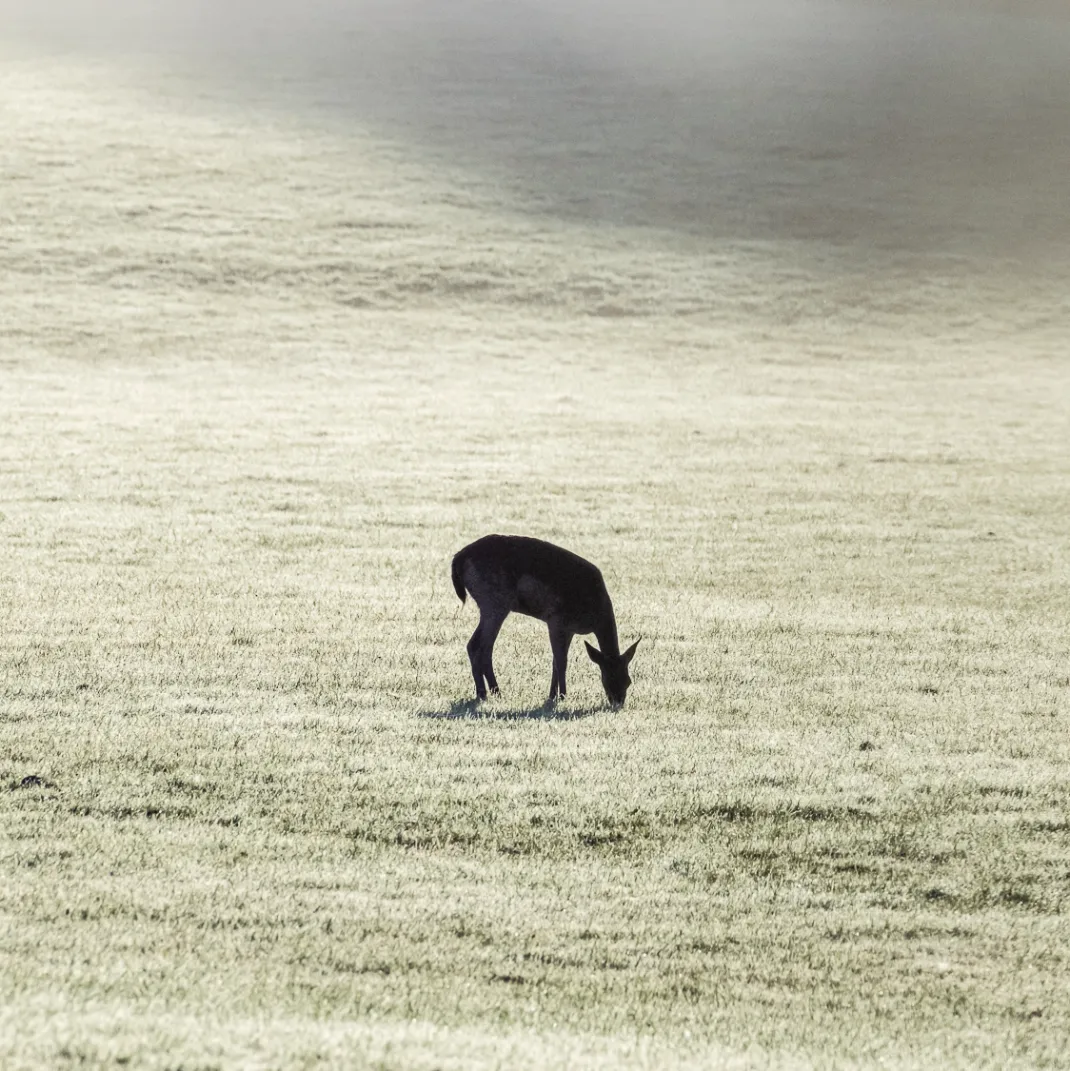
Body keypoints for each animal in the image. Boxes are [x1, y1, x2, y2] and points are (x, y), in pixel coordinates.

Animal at [451, 534, 640, 707]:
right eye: (607, 677)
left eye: (629, 681)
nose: (618, 702)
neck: (596, 613)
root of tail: (457, 560)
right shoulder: (556, 619)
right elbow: (561, 661)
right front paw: (562, 696)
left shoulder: (569, 629)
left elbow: (556, 661)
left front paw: (552, 695)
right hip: (494, 602)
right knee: (477, 645)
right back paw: (486, 693)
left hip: (492, 605)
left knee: (482, 646)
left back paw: (491, 692)